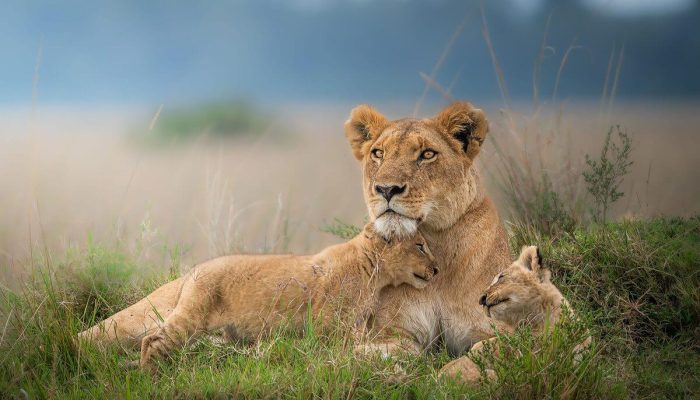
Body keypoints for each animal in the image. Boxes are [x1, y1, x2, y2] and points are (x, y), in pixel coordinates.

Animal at [344, 102, 511, 366]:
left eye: (427, 154)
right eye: (378, 153)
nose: (386, 189)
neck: (436, 243)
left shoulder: (514, 329)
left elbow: (482, 350)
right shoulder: (392, 333)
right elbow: (368, 354)